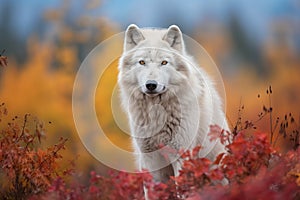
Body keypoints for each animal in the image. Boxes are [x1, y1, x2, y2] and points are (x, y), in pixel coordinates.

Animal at [118, 24, 229, 183]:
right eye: (142, 62)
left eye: (164, 62)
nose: (151, 85)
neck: (156, 113)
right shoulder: (150, 160)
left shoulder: (181, 156)